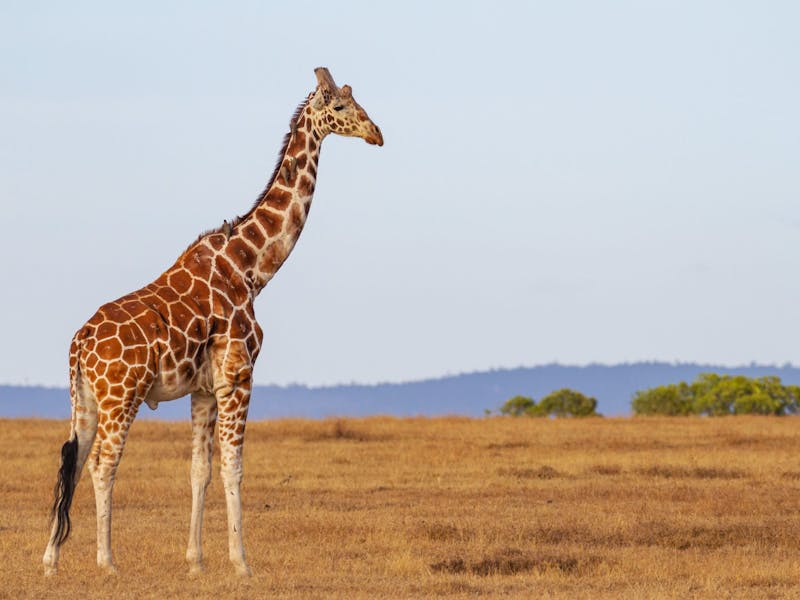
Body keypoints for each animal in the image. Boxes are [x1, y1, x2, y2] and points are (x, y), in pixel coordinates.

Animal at [42, 67, 383, 577]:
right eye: (340, 107)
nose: (377, 133)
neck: (252, 266)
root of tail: (79, 343)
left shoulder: (203, 388)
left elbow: (199, 471)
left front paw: (196, 561)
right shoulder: (238, 376)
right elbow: (232, 467)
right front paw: (241, 562)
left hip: (83, 397)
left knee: (74, 459)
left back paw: (50, 561)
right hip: (121, 396)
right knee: (103, 463)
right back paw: (107, 561)